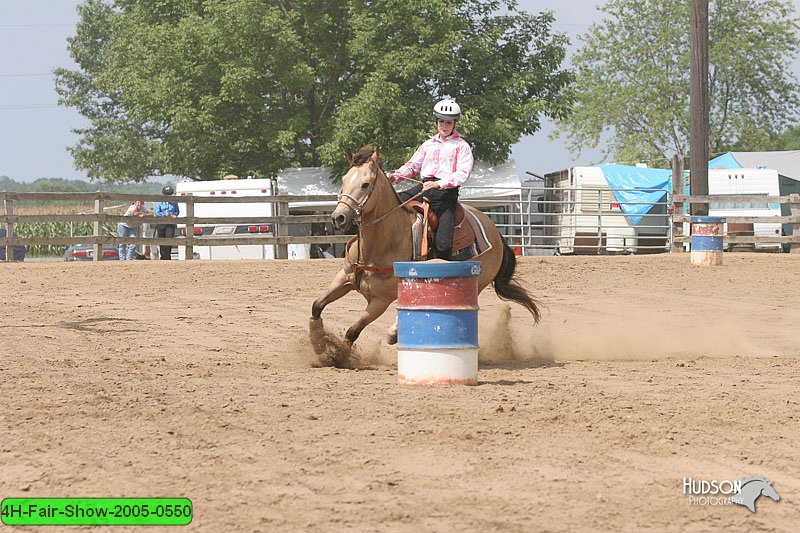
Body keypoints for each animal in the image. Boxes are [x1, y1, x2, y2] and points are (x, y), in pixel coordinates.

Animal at [310, 145, 540, 362]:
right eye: (344, 180)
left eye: (365, 184)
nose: (338, 217)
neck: (379, 245)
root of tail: (494, 230)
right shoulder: (343, 278)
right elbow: (317, 306)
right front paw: (317, 344)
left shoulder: (380, 301)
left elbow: (353, 331)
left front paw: (336, 357)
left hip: (478, 281)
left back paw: (393, 332)